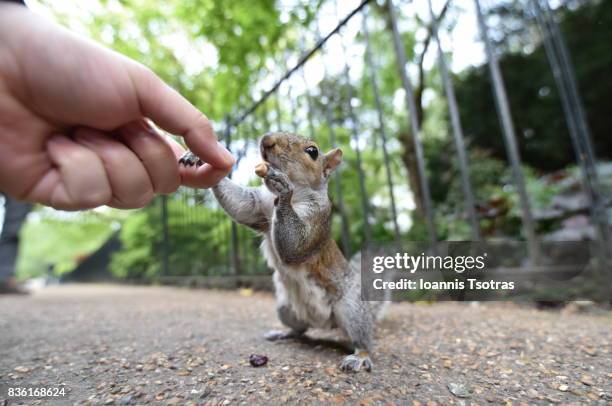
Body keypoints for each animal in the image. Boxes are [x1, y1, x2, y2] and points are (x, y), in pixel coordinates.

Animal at [179, 132, 384, 372]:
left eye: (313, 151)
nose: (266, 140)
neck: (298, 193)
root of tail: (325, 323)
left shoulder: (317, 219)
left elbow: (295, 244)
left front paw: (283, 187)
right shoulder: (258, 206)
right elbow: (241, 205)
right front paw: (197, 156)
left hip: (351, 309)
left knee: (362, 338)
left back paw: (359, 356)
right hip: (286, 308)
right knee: (301, 328)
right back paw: (284, 333)